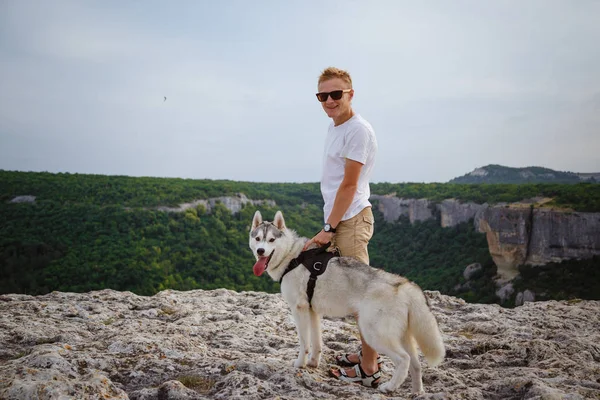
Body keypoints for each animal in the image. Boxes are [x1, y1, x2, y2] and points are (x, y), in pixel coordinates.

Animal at [248, 209, 446, 394]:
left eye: (271, 240)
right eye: (258, 239)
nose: (260, 251)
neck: (291, 256)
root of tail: (404, 285)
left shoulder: (300, 309)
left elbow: (304, 343)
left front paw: (300, 364)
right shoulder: (313, 312)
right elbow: (317, 343)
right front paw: (313, 363)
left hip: (374, 334)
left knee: (404, 359)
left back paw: (389, 387)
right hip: (403, 336)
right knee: (416, 364)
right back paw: (417, 392)